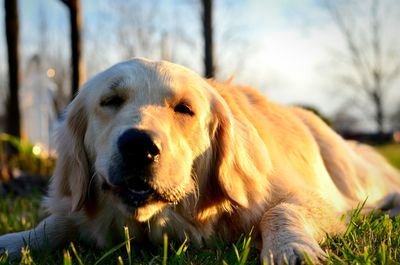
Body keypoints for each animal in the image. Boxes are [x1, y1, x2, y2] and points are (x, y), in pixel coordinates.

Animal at [0, 57, 400, 262]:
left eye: (184, 109)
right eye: (110, 101)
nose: (138, 146)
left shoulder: (307, 198)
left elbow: (279, 211)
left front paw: (291, 249)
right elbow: (55, 223)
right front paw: (14, 241)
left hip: (352, 174)